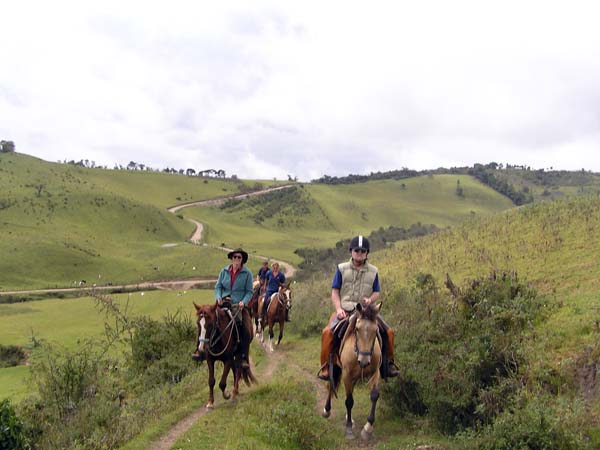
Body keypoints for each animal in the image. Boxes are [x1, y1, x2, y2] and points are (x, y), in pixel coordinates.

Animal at [324, 302, 380, 440]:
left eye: (375, 330)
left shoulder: (375, 372)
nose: (364, 362)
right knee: (331, 385)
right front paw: (349, 428)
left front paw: (368, 427)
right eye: (357, 329)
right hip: (335, 367)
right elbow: (349, 401)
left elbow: (374, 395)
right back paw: (327, 410)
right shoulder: (346, 374)